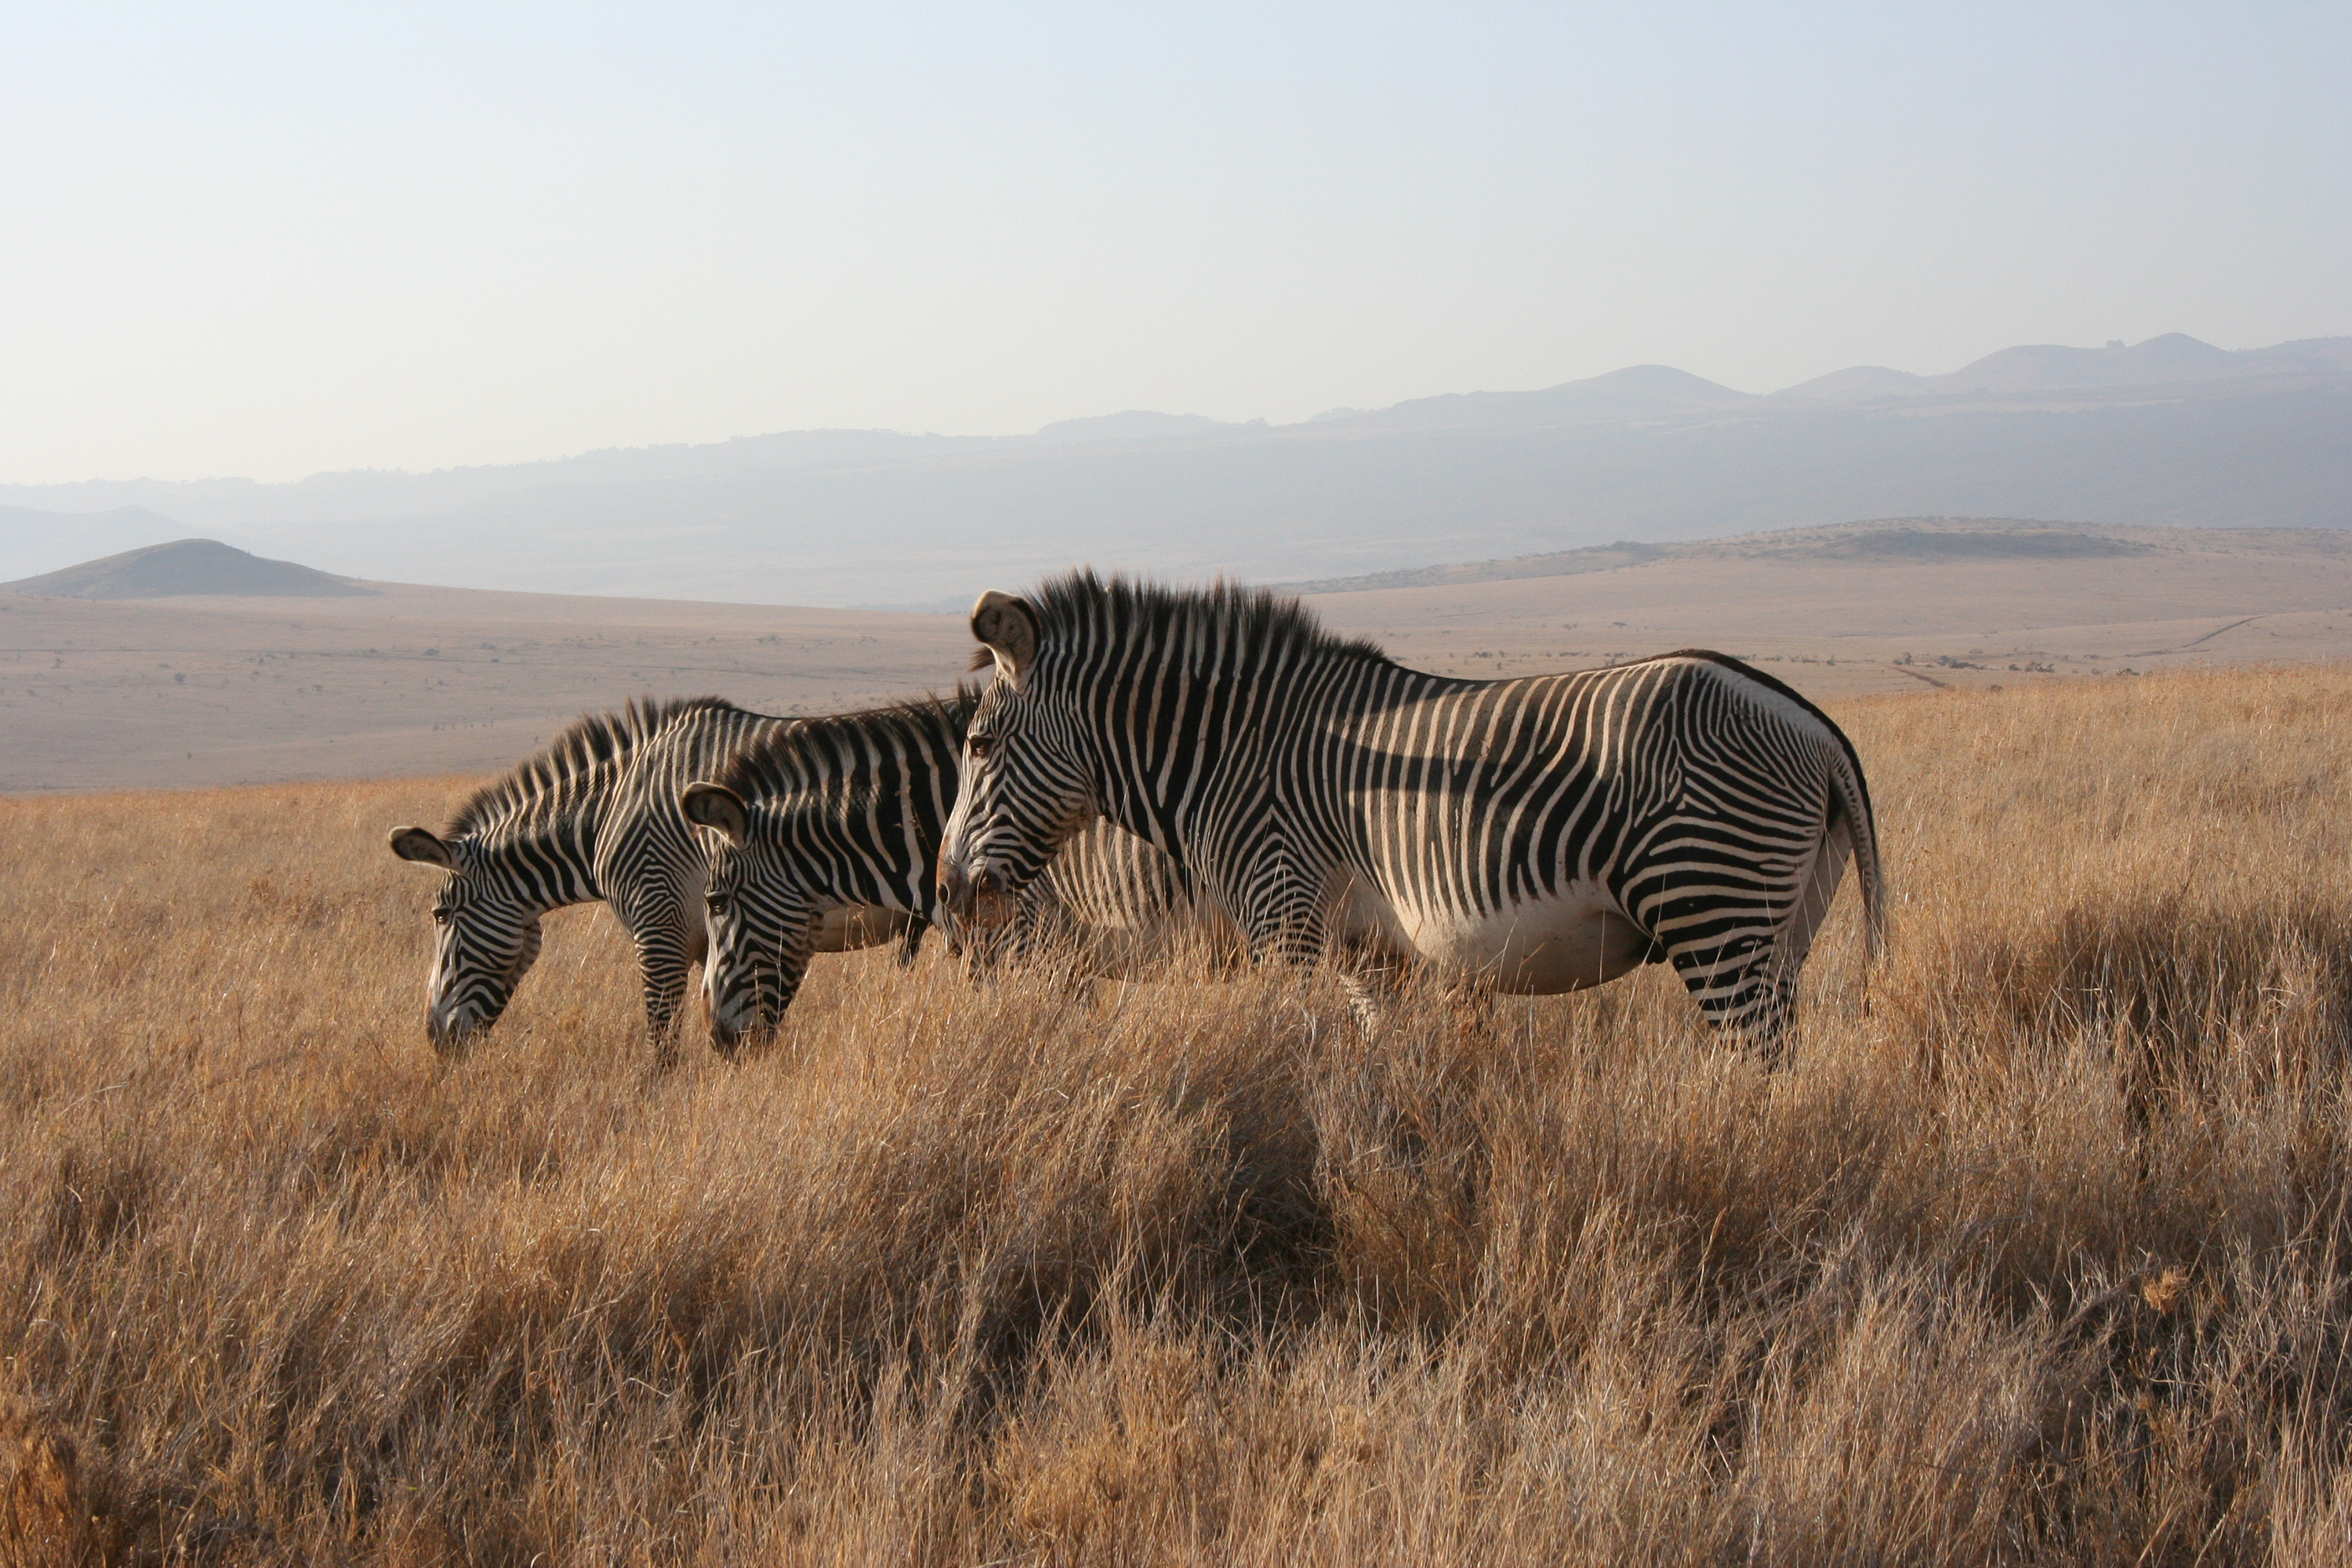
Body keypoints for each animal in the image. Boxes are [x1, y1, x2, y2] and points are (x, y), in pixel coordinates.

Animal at [388, 696, 922, 1060]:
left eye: (440, 914)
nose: (435, 1040)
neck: (607, 815)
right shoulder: (708, 937)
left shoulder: (657, 925)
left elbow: (661, 1039)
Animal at [936, 572, 1883, 1048]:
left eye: (977, 746)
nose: (945, 891)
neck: (1232, 751)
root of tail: (1814, 724)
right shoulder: (1370, 952)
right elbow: (1374, 1059)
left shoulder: (1283, 913)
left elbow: (1299, 1045)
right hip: (1783, 928)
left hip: (1713, 909)